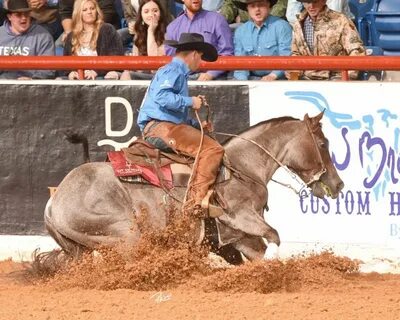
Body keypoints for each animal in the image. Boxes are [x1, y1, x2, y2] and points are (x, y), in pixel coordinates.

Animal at [43, 112, 344, 262]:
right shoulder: (240, 216)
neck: (244, 166)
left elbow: (260, 249)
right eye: (323, 144)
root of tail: (53, 202)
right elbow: (275, 236)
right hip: (127, 235)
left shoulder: (237, 236)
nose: (338, 184)